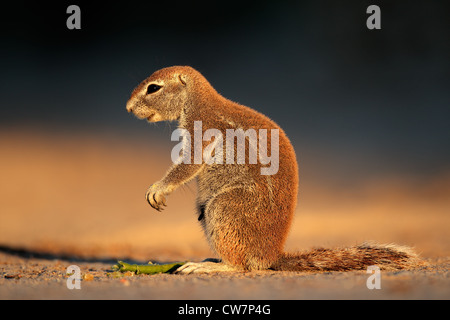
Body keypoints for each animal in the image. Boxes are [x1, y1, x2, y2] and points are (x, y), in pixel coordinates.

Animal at [125, 66, 424, 274]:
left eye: (153, 88)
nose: (127, 108)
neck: (197, 101)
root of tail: (271, 256)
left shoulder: (202, 131)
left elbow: (188, 165)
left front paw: (158, 189)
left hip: (224, 208)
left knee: (241, 266)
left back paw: (210, 266)